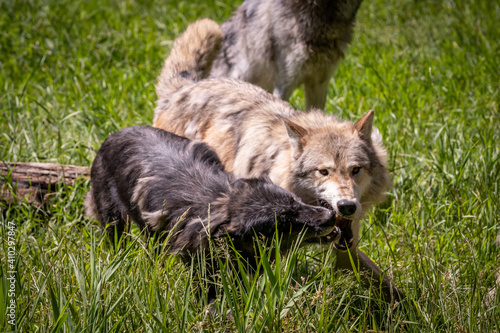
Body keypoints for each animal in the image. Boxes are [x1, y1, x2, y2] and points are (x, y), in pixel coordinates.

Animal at [85, 125, 340, 300]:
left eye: (295, 201)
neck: (217, 203)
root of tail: (114, 134)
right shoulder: (203, 270)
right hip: (114, 223)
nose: (330, 217)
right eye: (285, 221)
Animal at [152, 18, 402, 300]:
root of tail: (185, 87)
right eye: (323, 172)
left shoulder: (345, 249)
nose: (346, 206)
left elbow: (391, 288)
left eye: (356, 170)